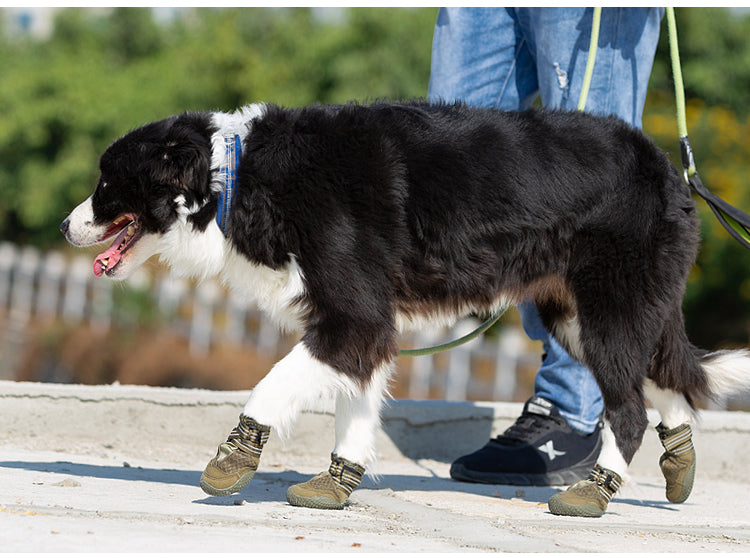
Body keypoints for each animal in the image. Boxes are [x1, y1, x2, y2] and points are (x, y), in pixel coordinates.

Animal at [63, 100, 750, 516]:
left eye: (106, 185)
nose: (66, 226)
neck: (233, 178)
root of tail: (670, 170)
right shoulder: (362, 326)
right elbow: (356, 406)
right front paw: (336, 483)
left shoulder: (352, 315)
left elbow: (272, 385)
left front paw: (233, 460)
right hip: (584, 314)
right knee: (663, 382)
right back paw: (679, 464)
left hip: (609, 308)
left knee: (628, 409)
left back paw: (595, 494)